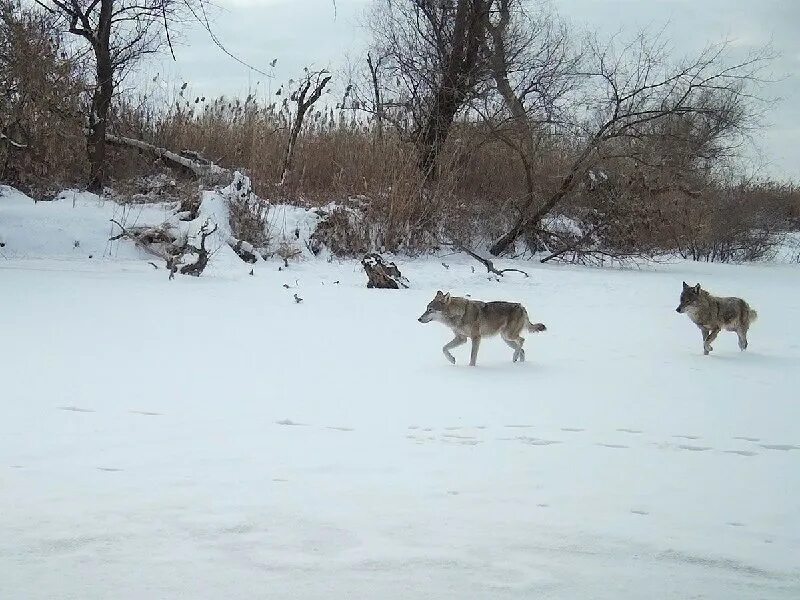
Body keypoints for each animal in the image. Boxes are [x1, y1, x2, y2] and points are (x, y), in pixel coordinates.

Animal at [418, 291, 547, 366]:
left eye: (430, 310)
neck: (460, 314)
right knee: (522, 350)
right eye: (426, 309)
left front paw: (471, 368)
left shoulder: (476, 338)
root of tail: (522, 306)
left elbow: (472, 357)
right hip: (506, 339)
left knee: (522, 341)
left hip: (508, 336)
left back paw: (515, 358)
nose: (419, 319)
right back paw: (518, 364)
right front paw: (452, 360)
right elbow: (444, 348)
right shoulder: (461, 338)